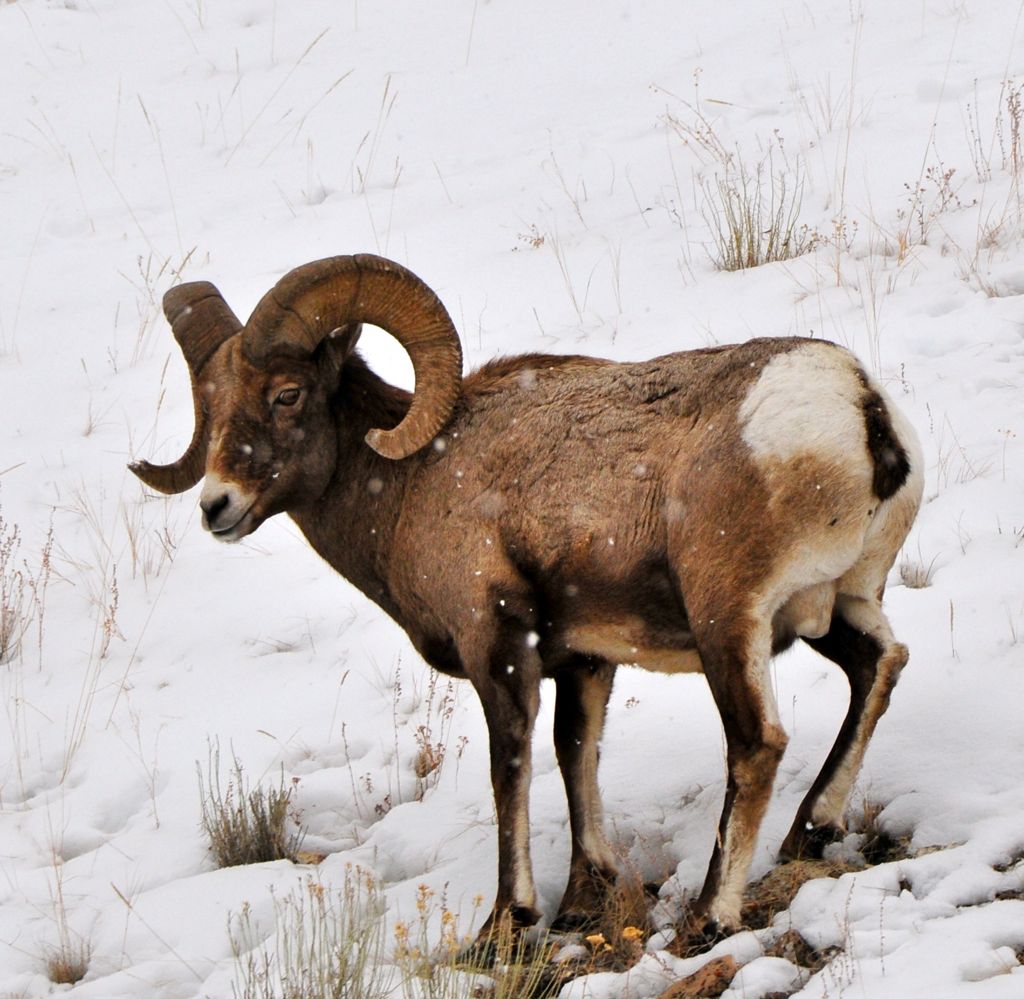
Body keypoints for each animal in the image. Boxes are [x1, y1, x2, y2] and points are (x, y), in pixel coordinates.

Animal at [131, 253, 923, 942]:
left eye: (287, 394)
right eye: (212, 407)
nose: (217, 507)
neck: (417, 482)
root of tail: (860, 408)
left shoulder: (499, 648)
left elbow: (509, 765)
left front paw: (505, 922)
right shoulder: (583, 659)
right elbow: (576, 753)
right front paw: (580, 898)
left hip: (730, 622)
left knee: (758, 742)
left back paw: (709, 915)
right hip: (838, 603)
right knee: (877, 665)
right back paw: (810, 831)